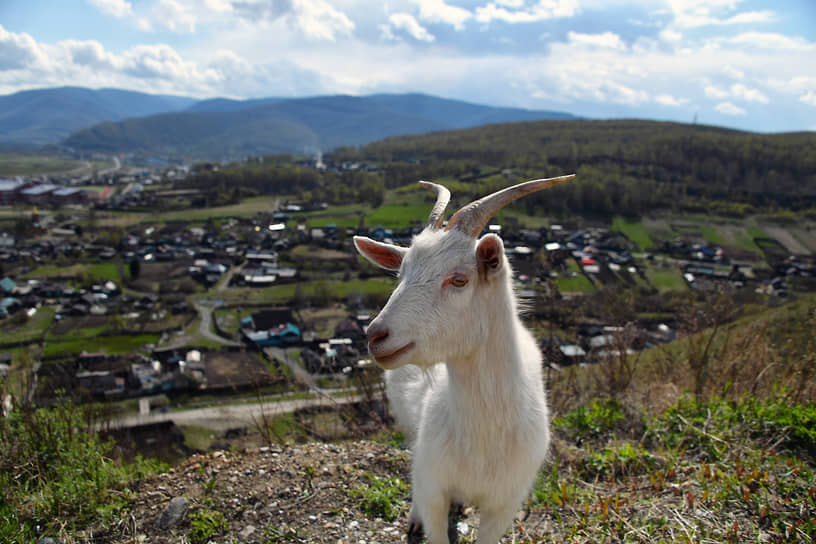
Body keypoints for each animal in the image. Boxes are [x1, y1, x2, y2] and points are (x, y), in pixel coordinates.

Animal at [356, 175, 572, 544]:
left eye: (459, 279)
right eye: (401, 275)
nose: (376, 335)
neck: (484, 436)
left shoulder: (505, 502)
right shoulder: (434, 486)